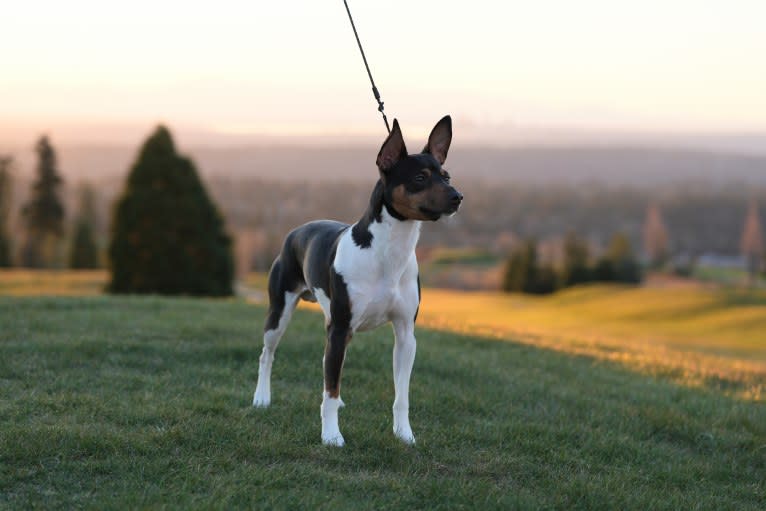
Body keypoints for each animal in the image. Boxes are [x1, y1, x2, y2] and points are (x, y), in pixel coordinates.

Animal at [255, 117, 464, 448]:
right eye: (420, 177)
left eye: (446, 176)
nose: (457, 197)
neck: (388, 253)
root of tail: (296, 230)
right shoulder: (340, 328)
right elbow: (330, 389)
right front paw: (331, 435)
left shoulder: (405, 334)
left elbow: (401, 396)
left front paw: (404, 434)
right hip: (281, 312)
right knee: (268, 355)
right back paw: (261, 398)